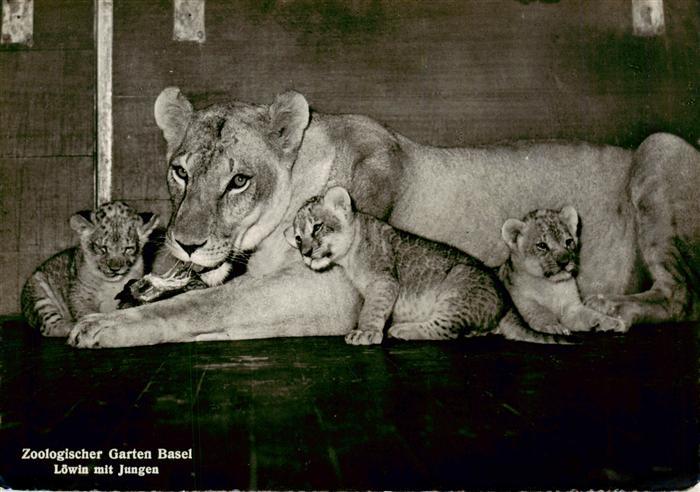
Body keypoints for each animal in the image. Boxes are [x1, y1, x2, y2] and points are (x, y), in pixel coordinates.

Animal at [67, 88, 700, 348]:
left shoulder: (332, 290)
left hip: (661, 148)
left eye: (238, 180)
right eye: (179, 172)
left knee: (680, 298)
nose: (186, 243)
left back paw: (610, 310)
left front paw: (105, 326)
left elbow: (208, 303)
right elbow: (202, 294)